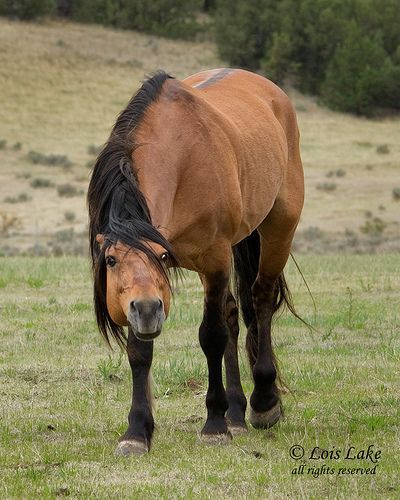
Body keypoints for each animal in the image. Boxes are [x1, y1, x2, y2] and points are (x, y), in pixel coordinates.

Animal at [88, 67, 304, 458]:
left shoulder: (215, 259)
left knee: (260, 300)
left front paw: (214, 425)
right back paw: (237, 413)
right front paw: (137, 431)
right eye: (110, 260)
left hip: (280, 226)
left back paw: (263, 403)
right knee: (234, 312)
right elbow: (140, 351)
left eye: (161, 255)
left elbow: (212, 336)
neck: (181, 158)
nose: (147, 310)